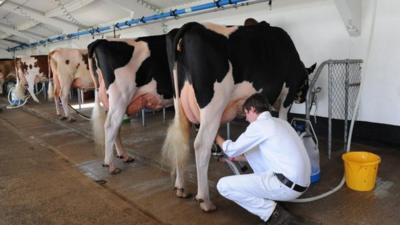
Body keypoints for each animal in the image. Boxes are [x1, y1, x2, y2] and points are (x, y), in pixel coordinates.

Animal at [88, 34, 173, 174]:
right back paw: (111, 165)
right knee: (111, 125)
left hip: (112, 101)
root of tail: (102, 41)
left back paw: (124, 156)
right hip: (120, 96)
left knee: (116, 127)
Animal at [162, 21, 316, 211]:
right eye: (306, 82)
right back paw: (205, 200)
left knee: (181, 139)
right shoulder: (287, 94)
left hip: (179, 104)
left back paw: (180, 187)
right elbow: (282, 118)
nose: (302, 98)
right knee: (201, 145)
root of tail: (191, 25)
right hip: (213, 105)